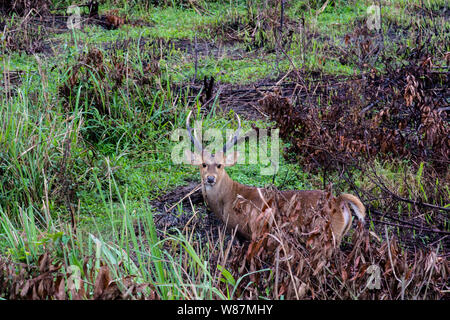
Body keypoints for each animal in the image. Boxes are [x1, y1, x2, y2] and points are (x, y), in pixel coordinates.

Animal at [185, 111, 364, 246]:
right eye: (203, 164)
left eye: (220, 165)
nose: (210, 179)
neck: (230, 199)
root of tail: (340, 202)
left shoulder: (251, 230)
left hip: (326, 235)